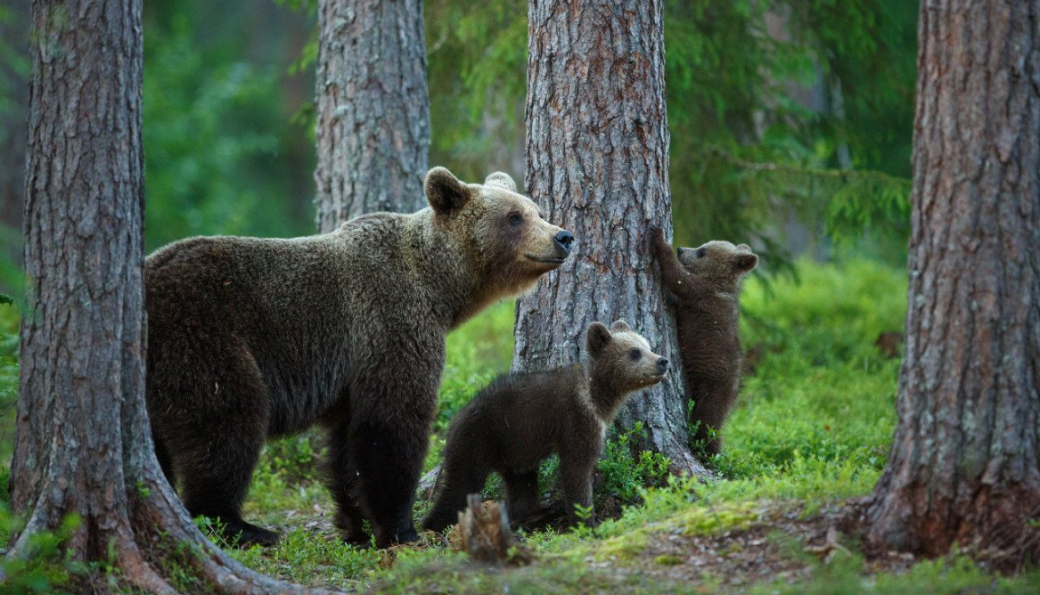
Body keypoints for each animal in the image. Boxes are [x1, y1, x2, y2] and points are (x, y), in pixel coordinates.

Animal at [143, 168, 574, 549]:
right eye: (514, 216)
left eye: (536, 210)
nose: (563, 236)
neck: (440, 289)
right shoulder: (390, 323)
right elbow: (392, 425)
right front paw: (402, 529)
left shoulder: (351, 373)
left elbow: (347, 448)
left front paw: (356, 527)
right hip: (203, 338)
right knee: (228, 423)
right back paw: (241, 526)